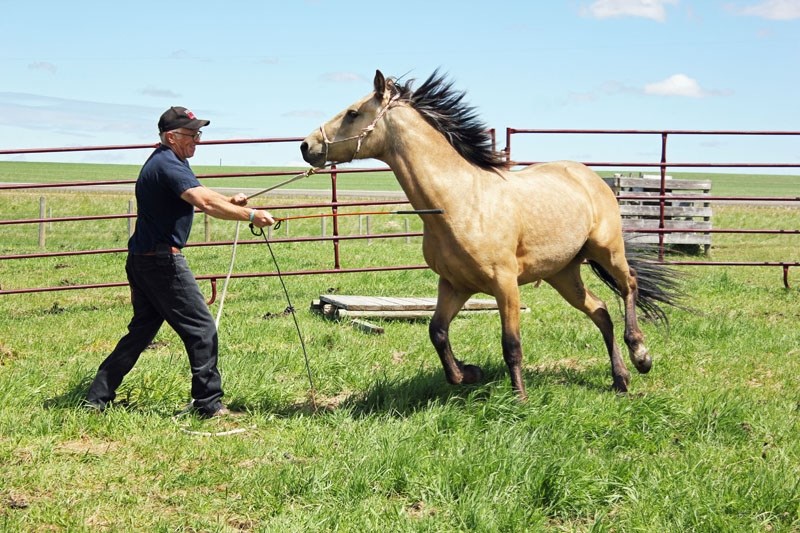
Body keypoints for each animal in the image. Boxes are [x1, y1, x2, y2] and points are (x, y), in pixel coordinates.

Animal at [300, 68, 680, 396]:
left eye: (352, 113)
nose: (307, 145)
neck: (459, 202)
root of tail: (589, 176)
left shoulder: (505, 283)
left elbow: (511, 344)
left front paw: (519, 399)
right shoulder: (455, 284)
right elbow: (437, 332)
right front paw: (469, 373)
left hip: (607, 249)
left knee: (629, 285)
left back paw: (641, 356)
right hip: (563, 273)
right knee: (600, 311)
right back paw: (621, 379)